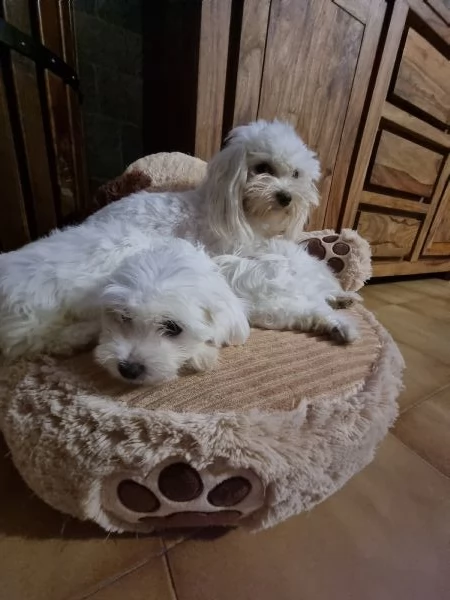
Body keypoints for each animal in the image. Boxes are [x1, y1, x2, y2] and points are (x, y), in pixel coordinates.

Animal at [0, 225, 250, 384]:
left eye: (172, 328)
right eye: (124, 317)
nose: (128, 369)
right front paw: (202, 354)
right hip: (33, 308)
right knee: (30, 340)